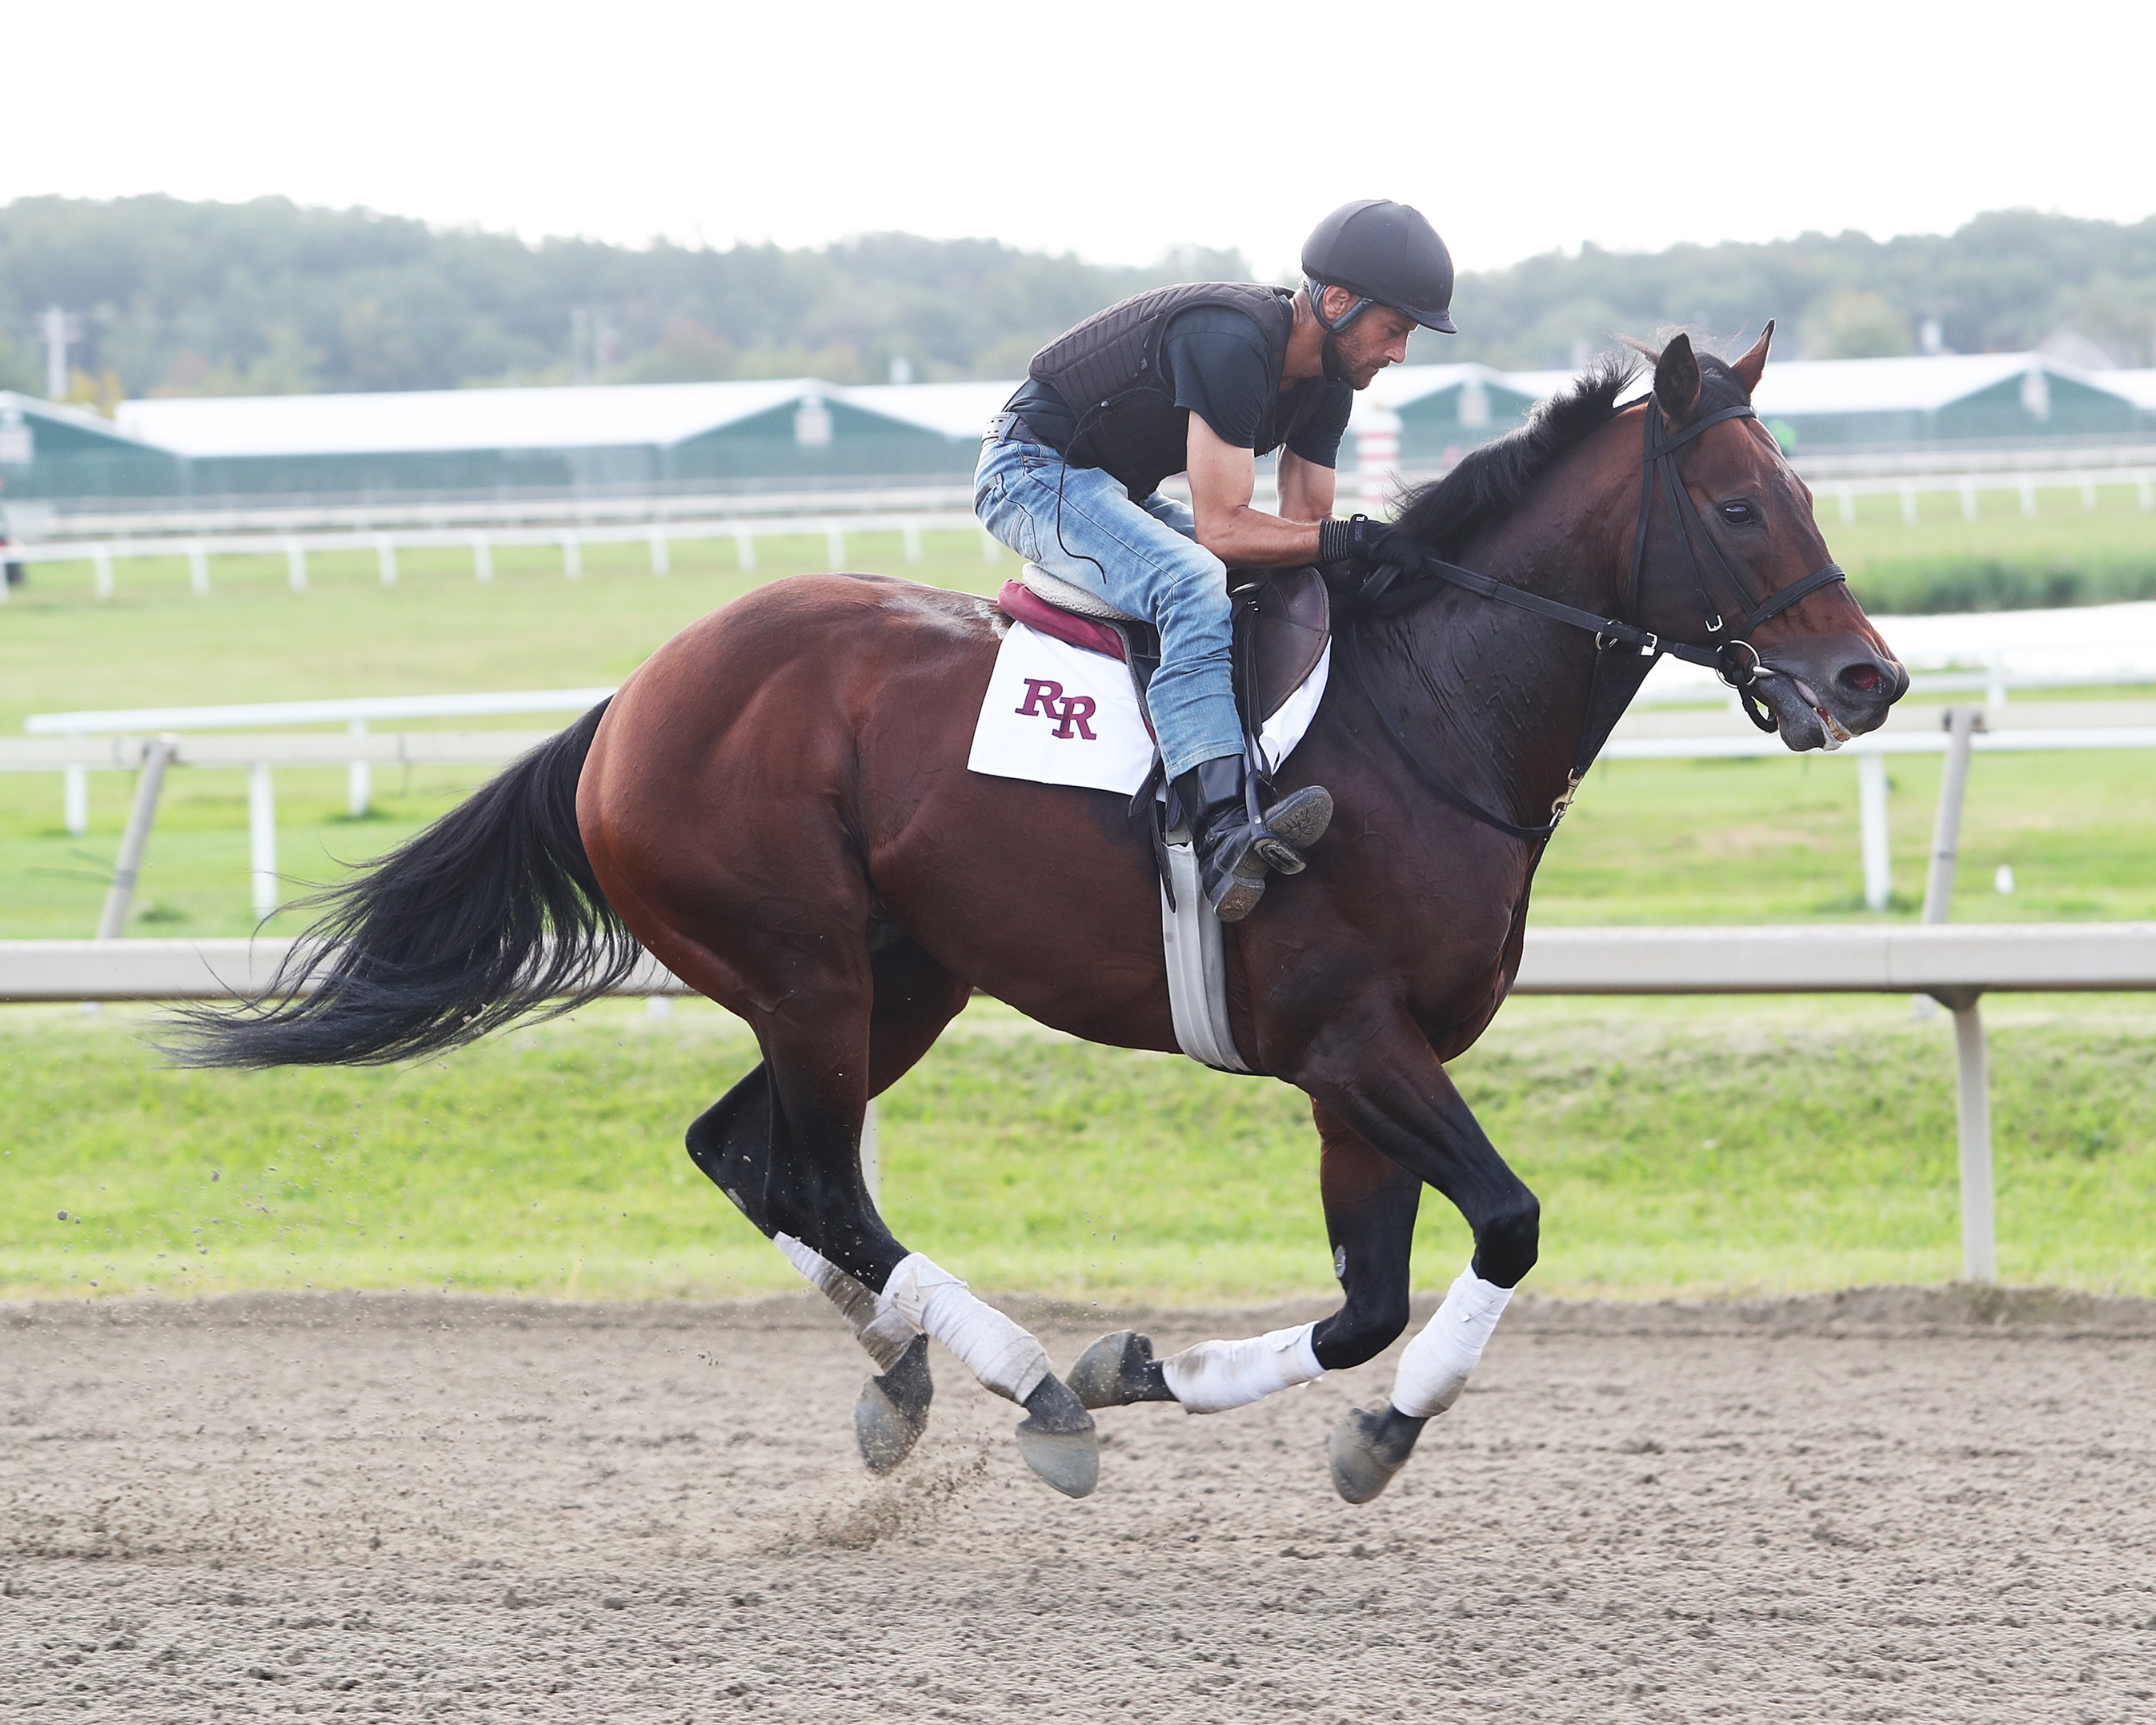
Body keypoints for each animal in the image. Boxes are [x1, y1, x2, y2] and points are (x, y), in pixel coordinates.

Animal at [181, 330, 1906, 1500]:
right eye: (1740, 508)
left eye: (1804, 489)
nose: (1866, 678)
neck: (1429, 715)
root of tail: (633, 700)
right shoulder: (1356, 1043)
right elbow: (1507, 1226)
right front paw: (1343, 1421)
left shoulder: (1356, 1074)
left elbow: (1366, 1302)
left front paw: (1180, 1371)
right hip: (806, 972)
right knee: (818, 1180)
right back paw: (1020, 1388)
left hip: (899, 980)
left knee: (748, 1160)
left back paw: (908, 1371)